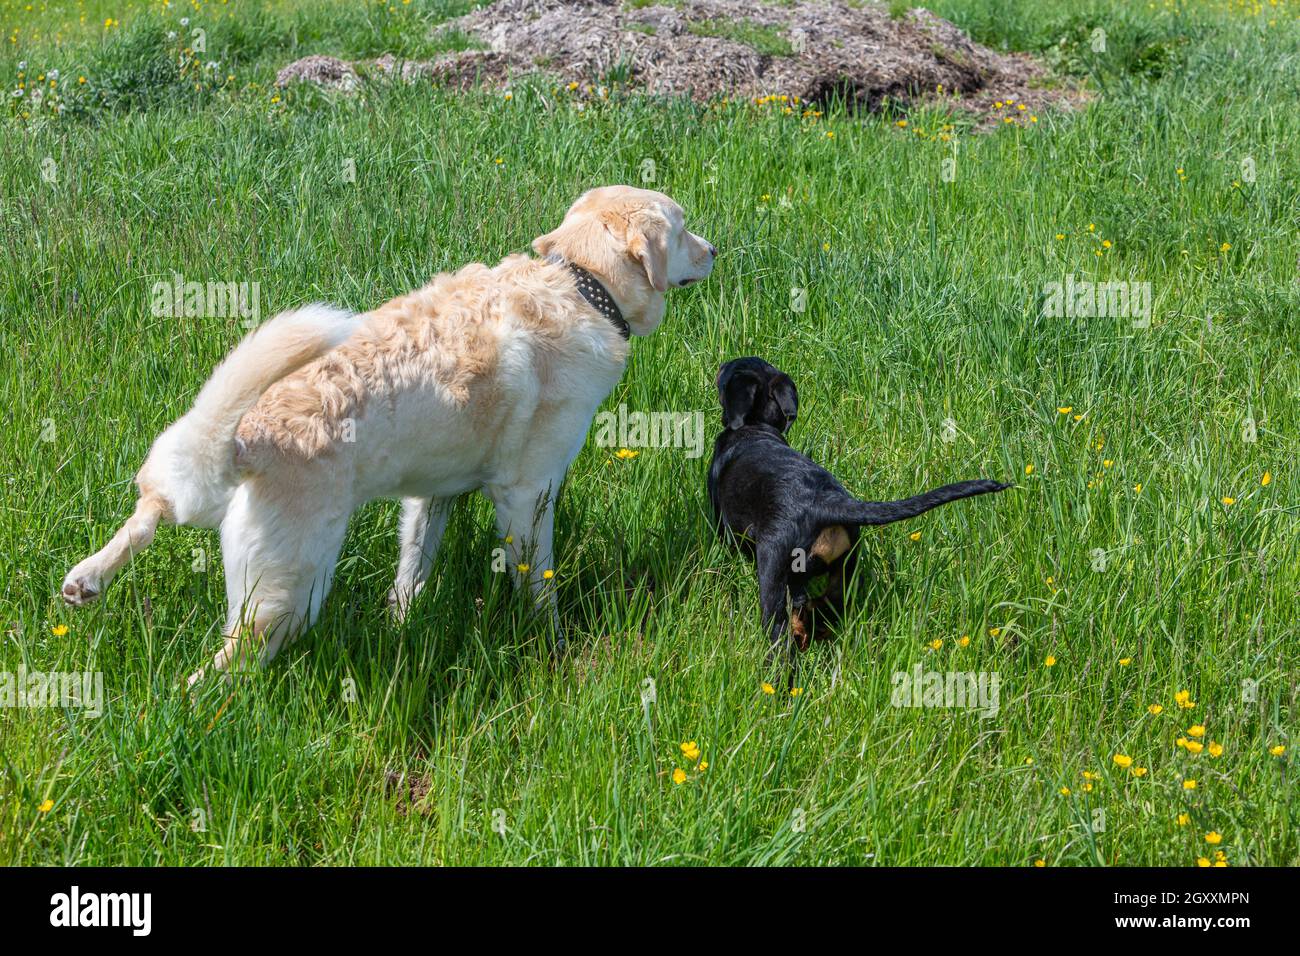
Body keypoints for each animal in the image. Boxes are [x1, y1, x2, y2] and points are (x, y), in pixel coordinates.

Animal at [63, 184, 722, 681]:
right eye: (682, 228)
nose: (716, 249)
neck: (582, 285)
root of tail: (245, 440)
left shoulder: (432, 493)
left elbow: (412, 571)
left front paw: (401, 625)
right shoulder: (529, 493)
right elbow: (539, 584)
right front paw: (552, 643)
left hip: (188, 477)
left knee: (150, 509)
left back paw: (87, 579)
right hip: (287, 595)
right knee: (219, 668)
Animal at [707, 358, 1008, 665]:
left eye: (727, 370)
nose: (719, 366)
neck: (755, 428)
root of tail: (822, 502)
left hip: (773, 570)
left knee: (781, 634)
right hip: (843, 570)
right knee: (820, 608)